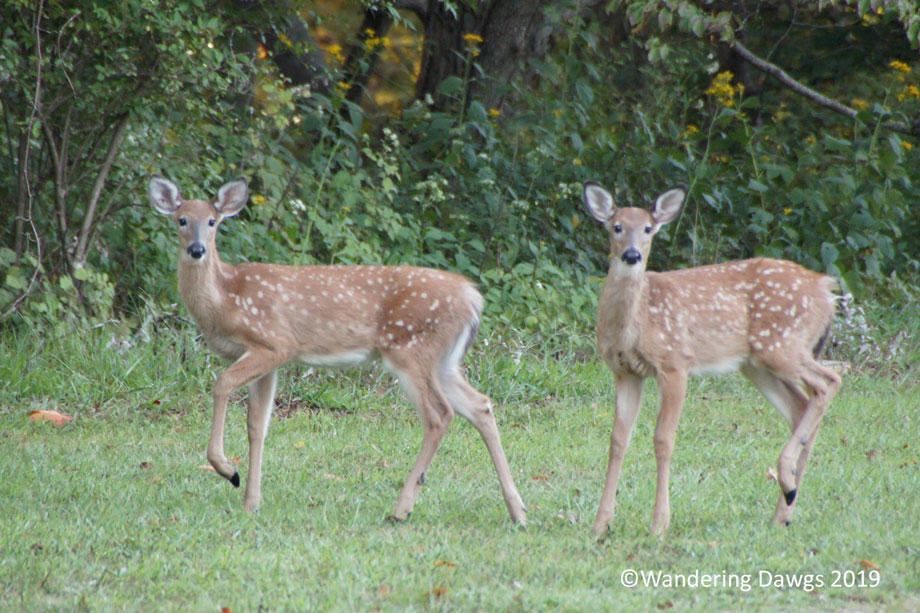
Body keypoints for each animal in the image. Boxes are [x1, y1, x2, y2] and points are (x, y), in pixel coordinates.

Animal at [147, 175, 526, 525]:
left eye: (213, 221)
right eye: (182, 219)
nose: (197, 250)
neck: (225, 298)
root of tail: (473, 298)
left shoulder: (275, 343)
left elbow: (222, 384)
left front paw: (228, 471)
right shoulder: (269, 361)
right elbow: (257, 426)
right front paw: (251, 502)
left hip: (409, 349)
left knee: (440, 414)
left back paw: (401, 509)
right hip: (443, 361)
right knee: (480, 406)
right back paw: (518, 510)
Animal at [582, 180, 841, 536]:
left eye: (648, 229)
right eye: (616, 227)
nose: (632, 255)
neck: (635, 323)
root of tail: (826, 290)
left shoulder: (675, 363)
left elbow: (663, 440)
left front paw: (659, 524)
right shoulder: (625, 372)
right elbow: (618, 440)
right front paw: (600, 524)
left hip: (781, 345)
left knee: (829, 381)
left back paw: (786, 482)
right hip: (756, 364)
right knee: (801, 404)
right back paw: (783, 510)